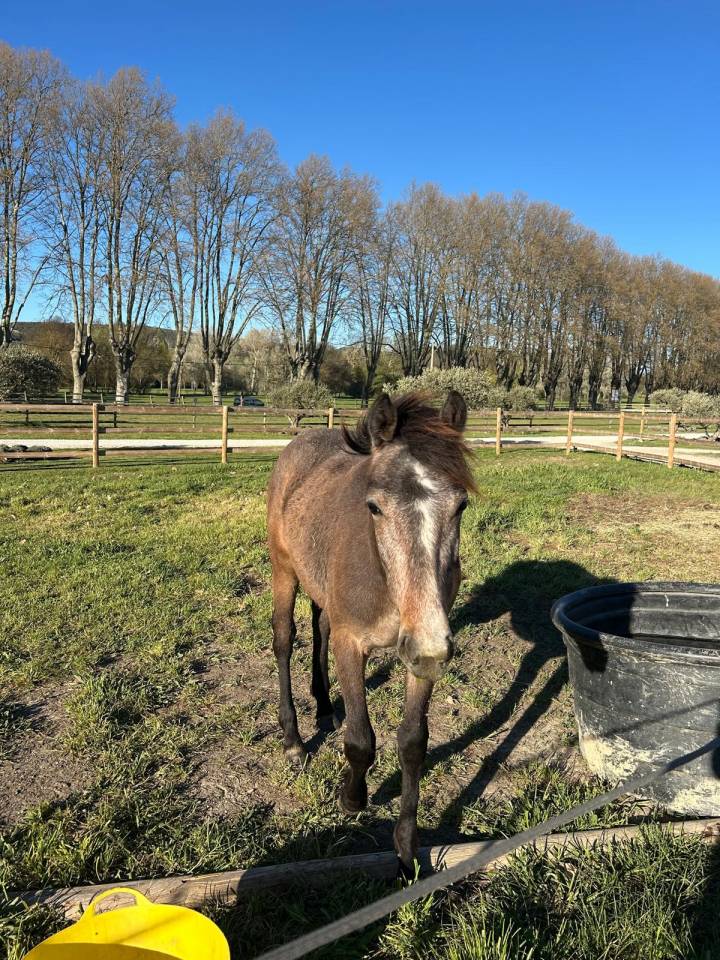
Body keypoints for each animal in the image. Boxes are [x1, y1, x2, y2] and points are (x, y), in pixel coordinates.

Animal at [267, 390, 475, 869]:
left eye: (461, 505)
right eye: (375, 506)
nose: (430, 647)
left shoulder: (423, 651)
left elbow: (414, 742)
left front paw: (406, 850)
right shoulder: (353, 644)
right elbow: (361, 740)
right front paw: (352, 800)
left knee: (320, 626)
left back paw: (325, 706)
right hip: (283, 570)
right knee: (285, 640)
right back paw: (293, 740)